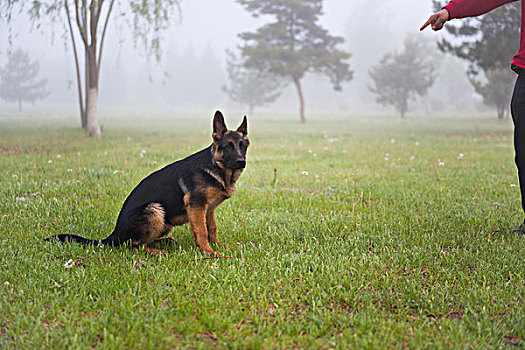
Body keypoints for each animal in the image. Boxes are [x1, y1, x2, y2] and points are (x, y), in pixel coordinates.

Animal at [46, 110, 249, 256]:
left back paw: (166, 242)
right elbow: (201, 231)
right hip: (155, 210)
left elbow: (211, 228)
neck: (216, 166)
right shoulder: (196, 206)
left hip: (165, 221)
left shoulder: (209, 210)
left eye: (243, 146)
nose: (241, 162)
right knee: (135, 245)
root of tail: (114, 234)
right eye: (228, 146)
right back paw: (156, 252)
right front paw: (209, 252)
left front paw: (217, 245)